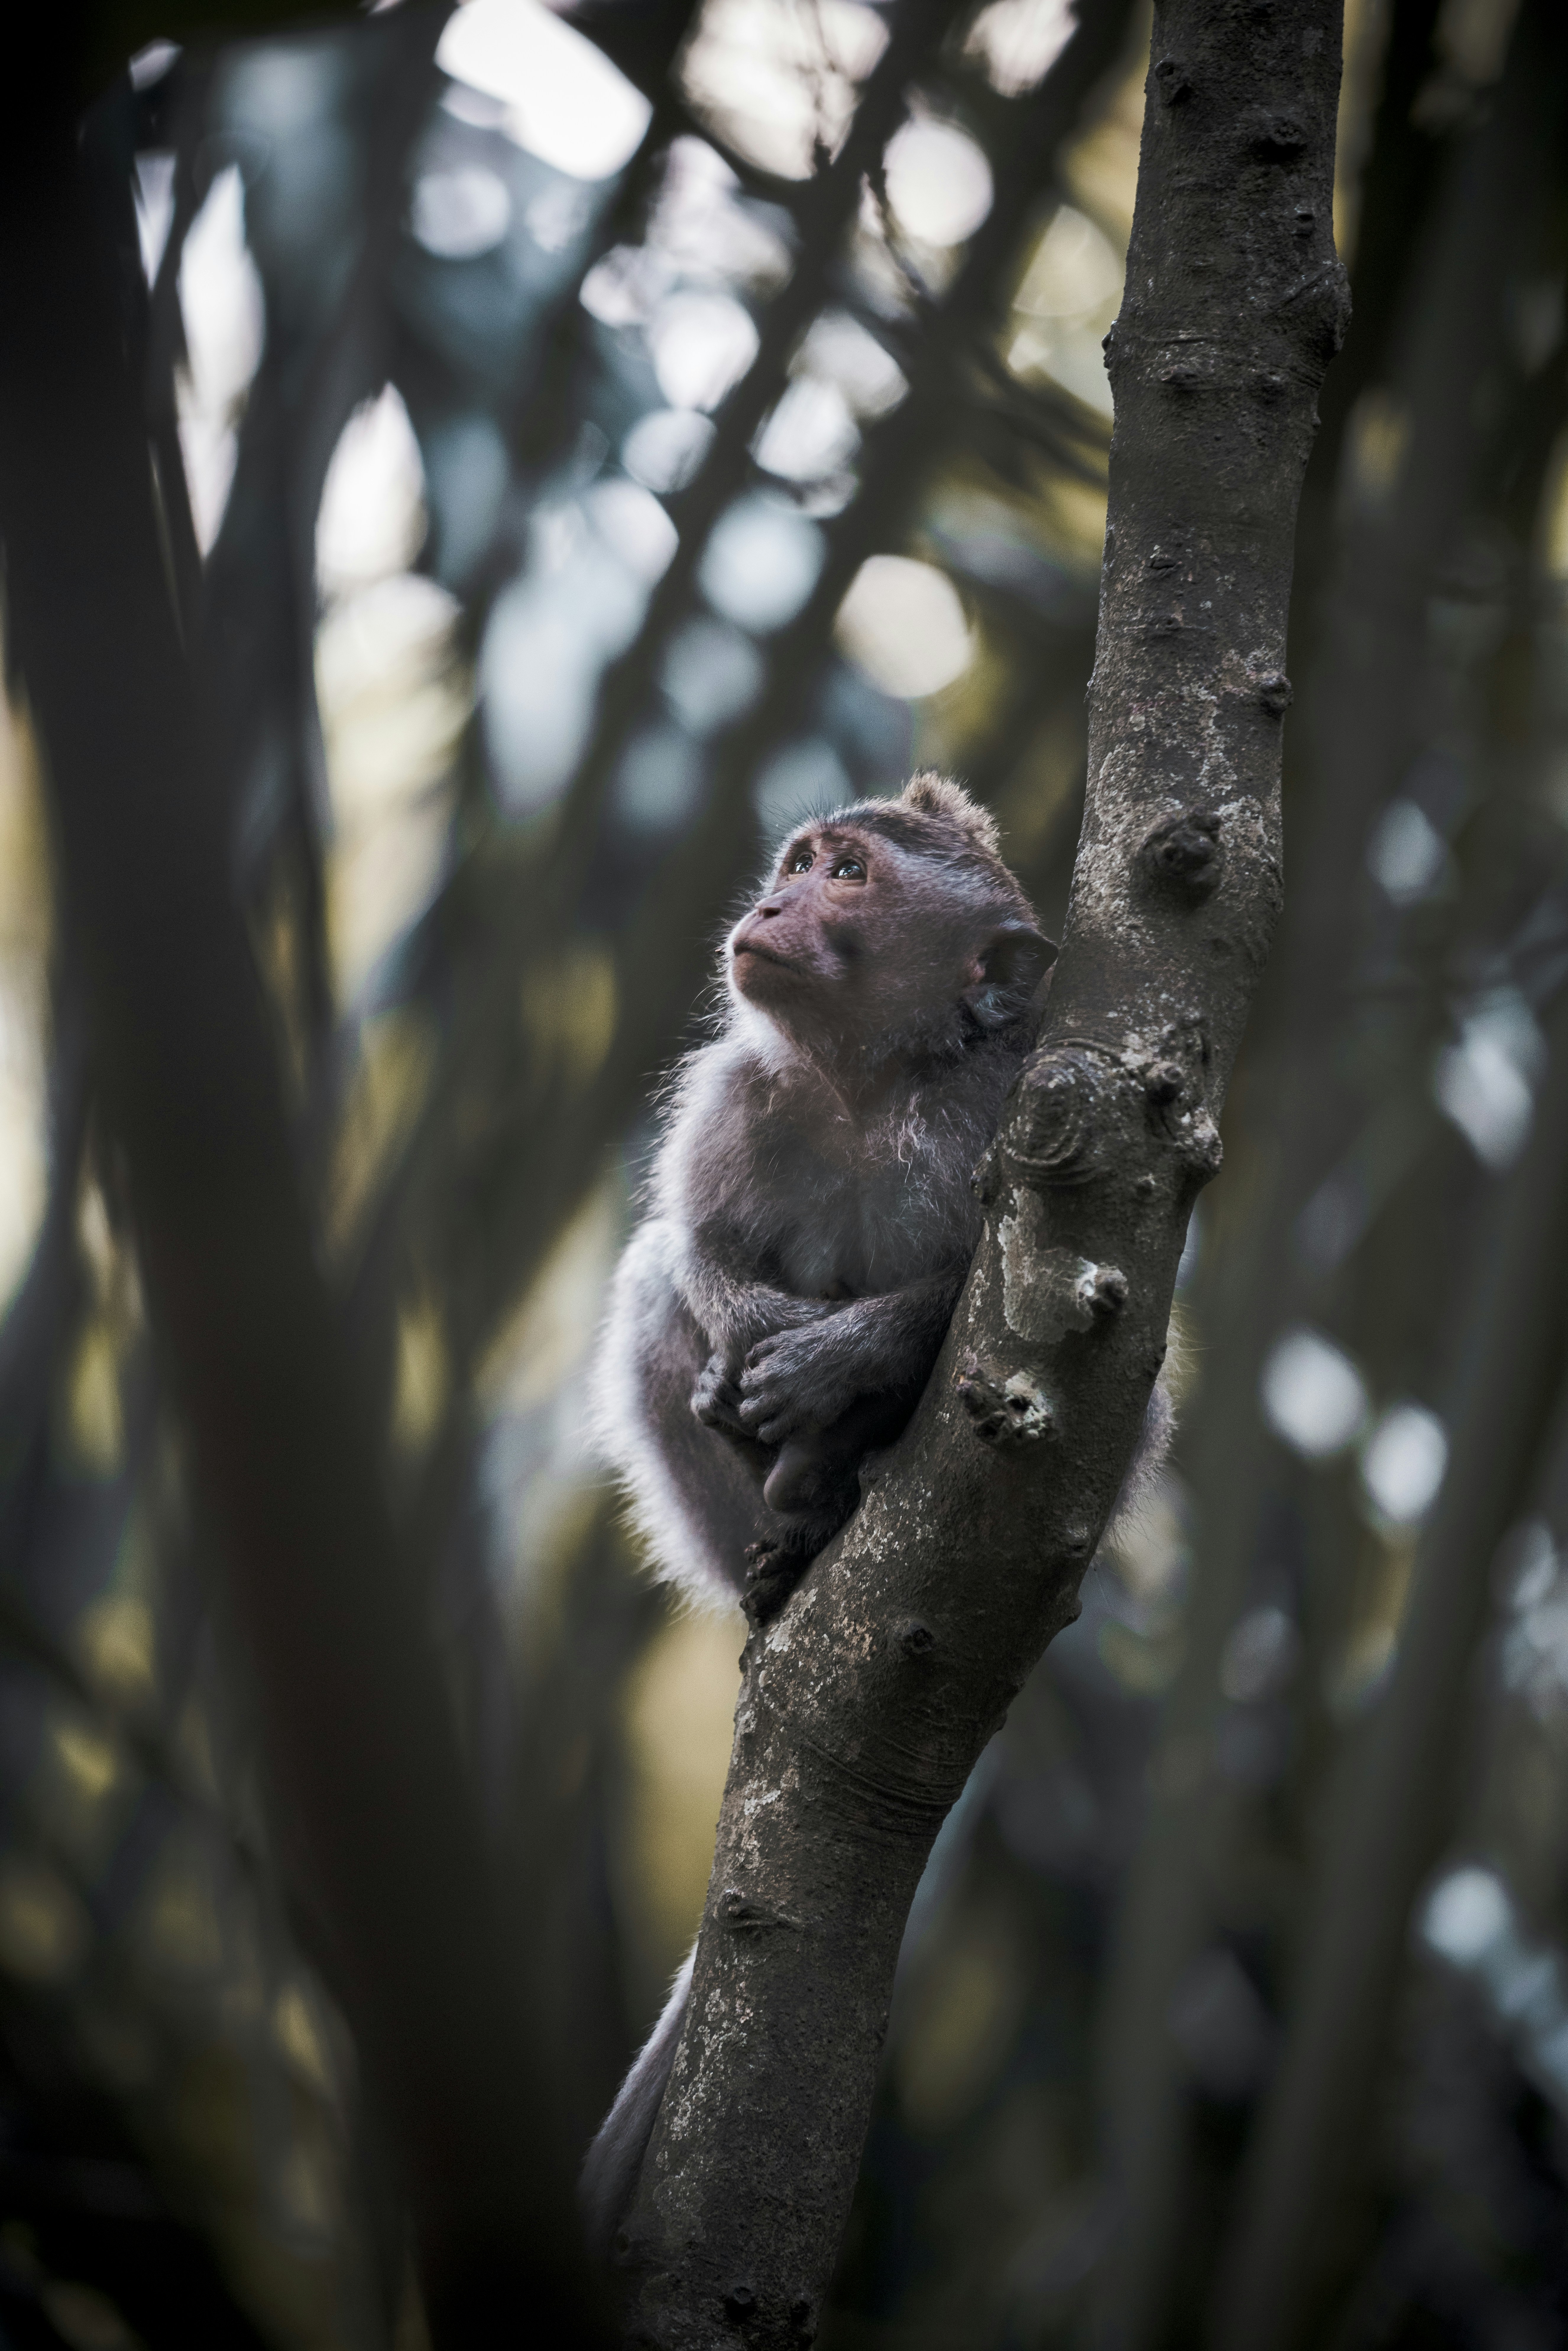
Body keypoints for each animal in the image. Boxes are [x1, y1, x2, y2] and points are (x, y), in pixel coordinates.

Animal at [582, 772, 1175, 2252]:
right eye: (799, 861)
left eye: (845, 873)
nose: (771, 902)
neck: (865, 1077)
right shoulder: (735, 1088)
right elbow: (697, 1252)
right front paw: (755, 1349)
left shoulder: (1010, 1105)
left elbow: (1020, 1298)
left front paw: (842, 1364)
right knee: (650, 1290)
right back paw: (792, 1533)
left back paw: (829, 1458)